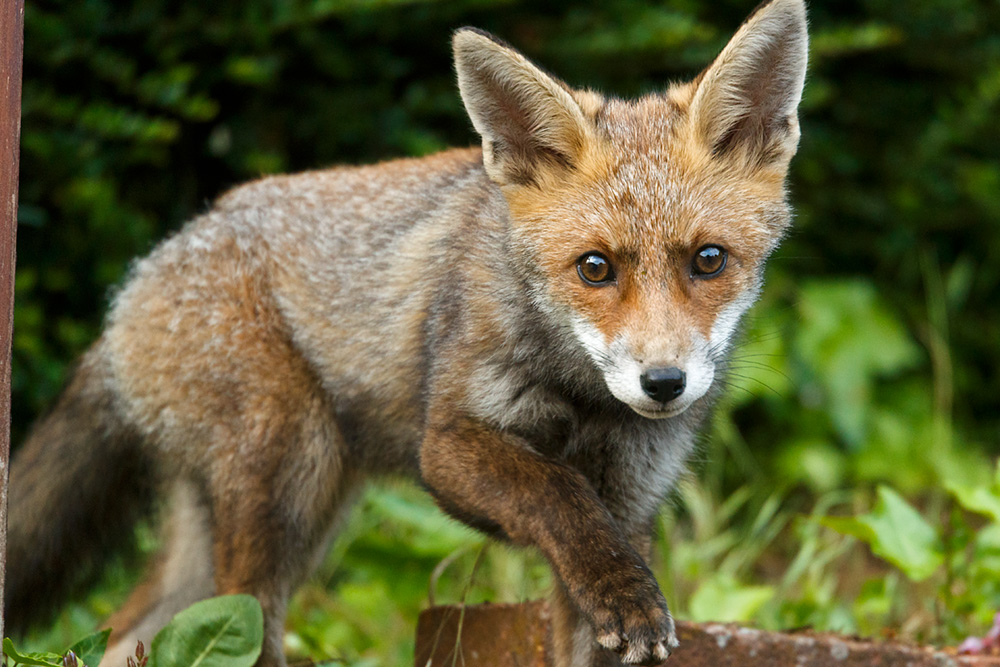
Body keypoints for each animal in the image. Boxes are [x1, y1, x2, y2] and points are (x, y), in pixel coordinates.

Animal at [5, 1, 808, 665]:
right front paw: (623, 589)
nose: (664, 384)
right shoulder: (448, 445)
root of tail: (140, 274)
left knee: (130, 634)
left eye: (709, 260)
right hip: (288, 473)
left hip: (269, 512)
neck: (582, 400)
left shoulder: (630, 506)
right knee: (245, 622)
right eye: (595, 267)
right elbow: (555, 489)